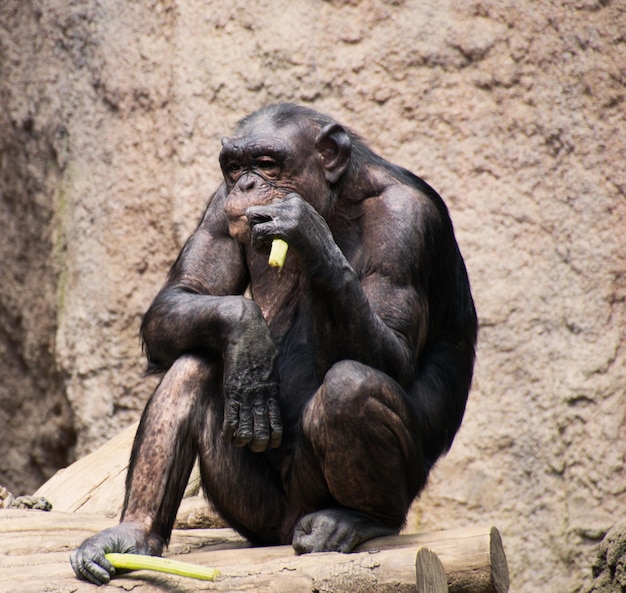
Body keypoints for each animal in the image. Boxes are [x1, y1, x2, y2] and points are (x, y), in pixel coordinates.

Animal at [70, 102, 476, 584]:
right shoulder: (218, 206)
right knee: (195, 361)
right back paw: (131, 535)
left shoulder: (407, 220)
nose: (247, 185)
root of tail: (286, 528)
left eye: (266, 163)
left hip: (323, 498)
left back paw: (356, 519)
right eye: (234, 167)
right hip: (252, 511)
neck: (338, 200)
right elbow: (183, 295)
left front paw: (308, 234)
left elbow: (394, 351)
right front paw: (248, 339)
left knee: (352, 386)